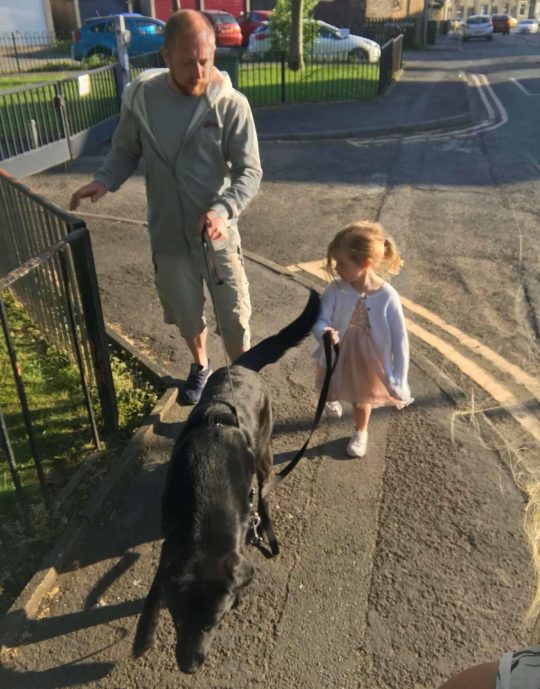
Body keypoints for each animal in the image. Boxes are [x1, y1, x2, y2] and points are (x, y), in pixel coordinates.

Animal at [132, 290, 319, 673]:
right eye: (178, 621)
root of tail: (242, 367)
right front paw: (143, 637)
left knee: (265, 492)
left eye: (214, 624)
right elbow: (155, 589)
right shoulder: (172, 543)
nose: (190, 666)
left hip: (264, 453)